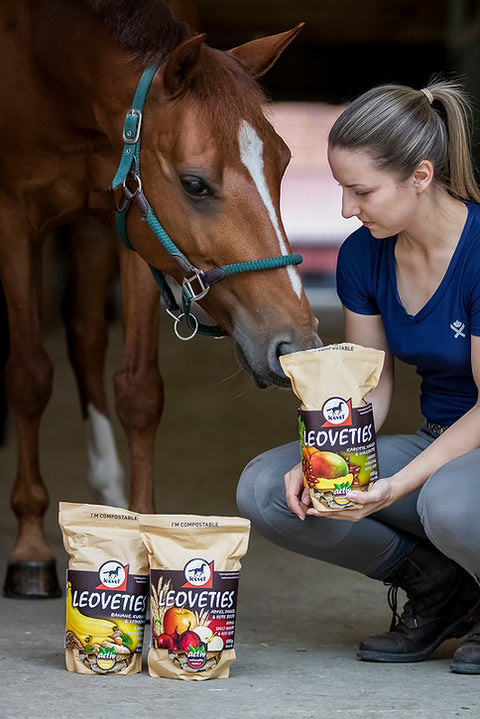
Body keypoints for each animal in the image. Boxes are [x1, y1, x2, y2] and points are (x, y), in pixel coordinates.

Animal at [2, 0, 322, 600]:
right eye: (195, 184)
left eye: (283, 163)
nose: (295, 345)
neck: (46, 45)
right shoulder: (13, 216)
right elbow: (29, 376)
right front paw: (29, 551)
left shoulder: (128, 222)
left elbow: (139, 391)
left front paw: (141, 533)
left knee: (85, 333)